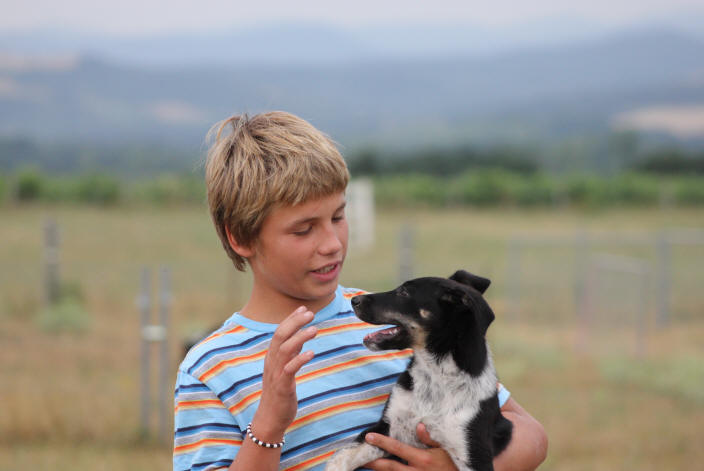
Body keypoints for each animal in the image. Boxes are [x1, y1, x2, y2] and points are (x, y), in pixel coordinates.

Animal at [324, 272, 512, 470]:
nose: (354, 300)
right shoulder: (385, 428)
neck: (436, 374)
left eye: (404, 293)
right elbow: (342, 457)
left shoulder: (473, 453)